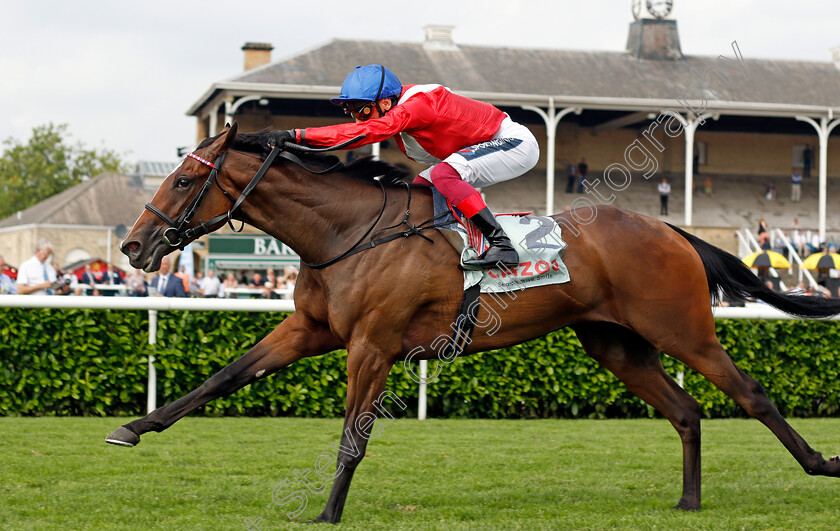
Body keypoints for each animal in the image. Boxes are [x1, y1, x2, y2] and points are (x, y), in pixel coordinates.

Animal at [110, 123, 840, 524]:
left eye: (184, 181)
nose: (134, 247)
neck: (346, 231)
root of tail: (671, 229)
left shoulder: (371, 345)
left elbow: (352, 436)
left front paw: (326, 511)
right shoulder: (311, 330)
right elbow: (224, 377)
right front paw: (134, 427)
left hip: (682, 329)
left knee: (751, 394)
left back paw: (820, 463)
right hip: (616, 344)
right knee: (686, 411)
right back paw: (688, 502)